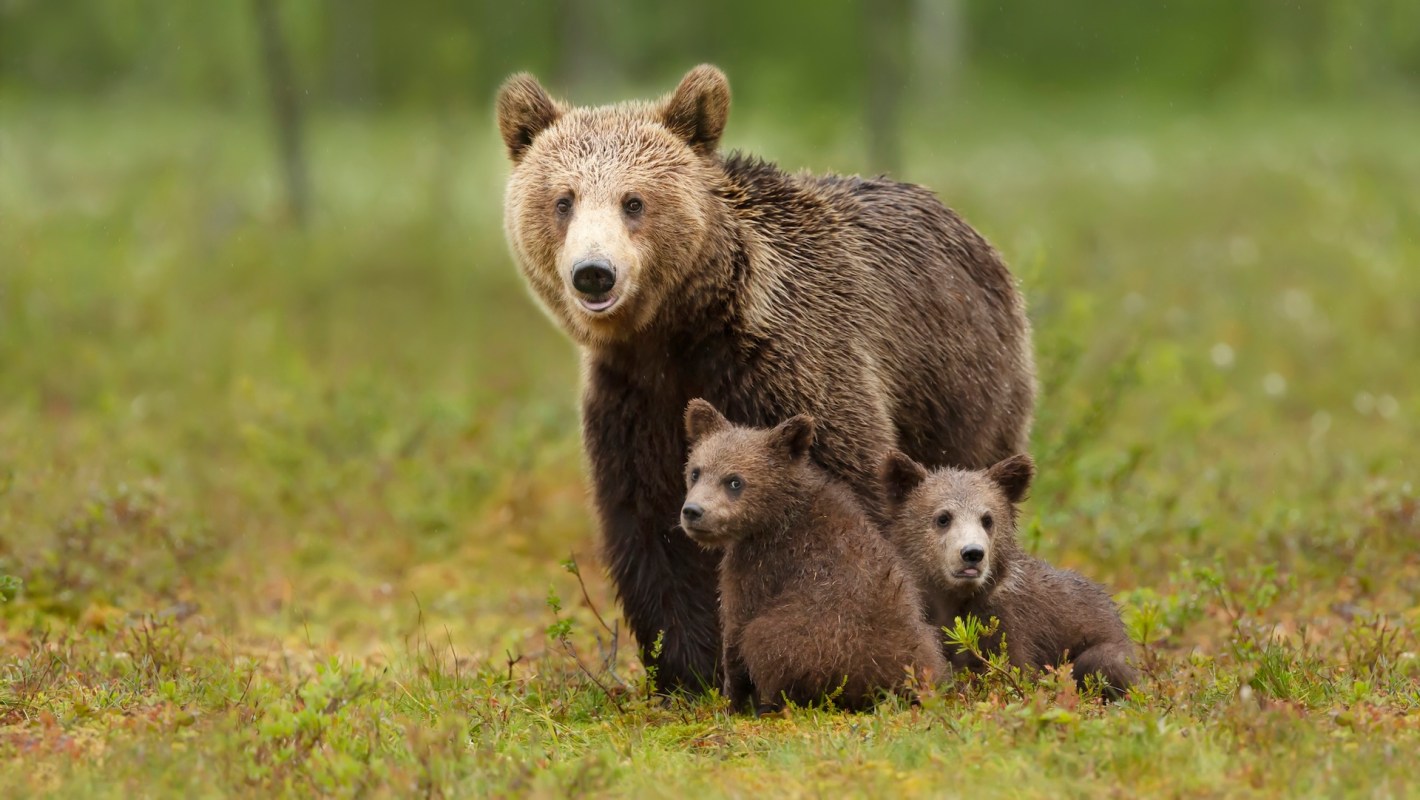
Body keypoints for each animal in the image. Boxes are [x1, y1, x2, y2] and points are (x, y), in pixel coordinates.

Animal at [680, 399, 948, 714]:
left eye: (734, 481)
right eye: (696, 471)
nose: (693, 511)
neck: (774, 516)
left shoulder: (758, 568)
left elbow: (735, 631)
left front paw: (729, 702)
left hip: (810, 637)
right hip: (919, 643)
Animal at [879, 451, 1138, 699]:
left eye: (987, 519)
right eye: (943, 517)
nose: (972, 553)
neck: (954, 598)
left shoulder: (1009, 623)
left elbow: (1014, 671)